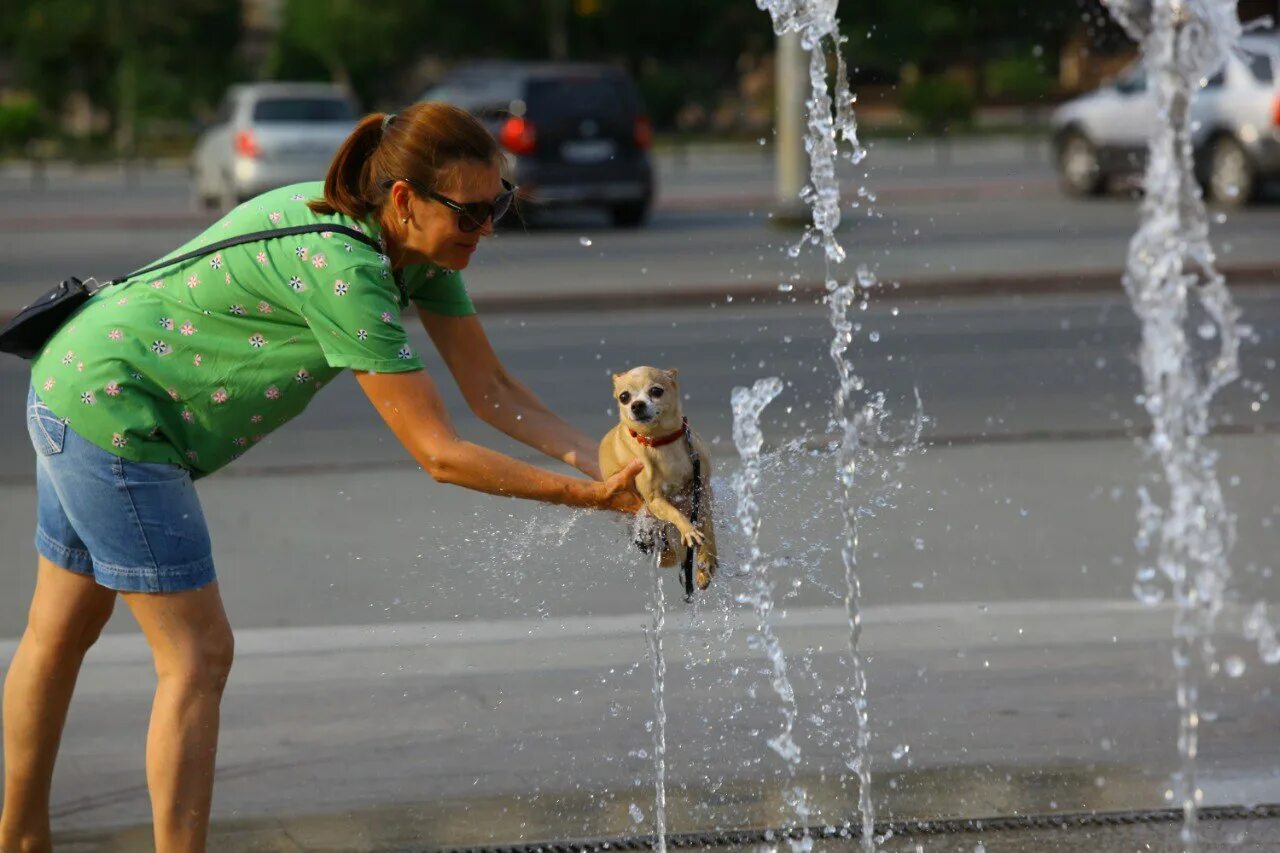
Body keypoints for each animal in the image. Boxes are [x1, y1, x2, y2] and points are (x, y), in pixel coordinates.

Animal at [596, 361, 716, 589]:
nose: (636, 405)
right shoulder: (655, 500)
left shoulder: (702, 490)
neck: (661, 441)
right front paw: (688, 529)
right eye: (624, 397)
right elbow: (675, 513)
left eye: (656, 391)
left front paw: (707, 560)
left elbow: (708, 528)